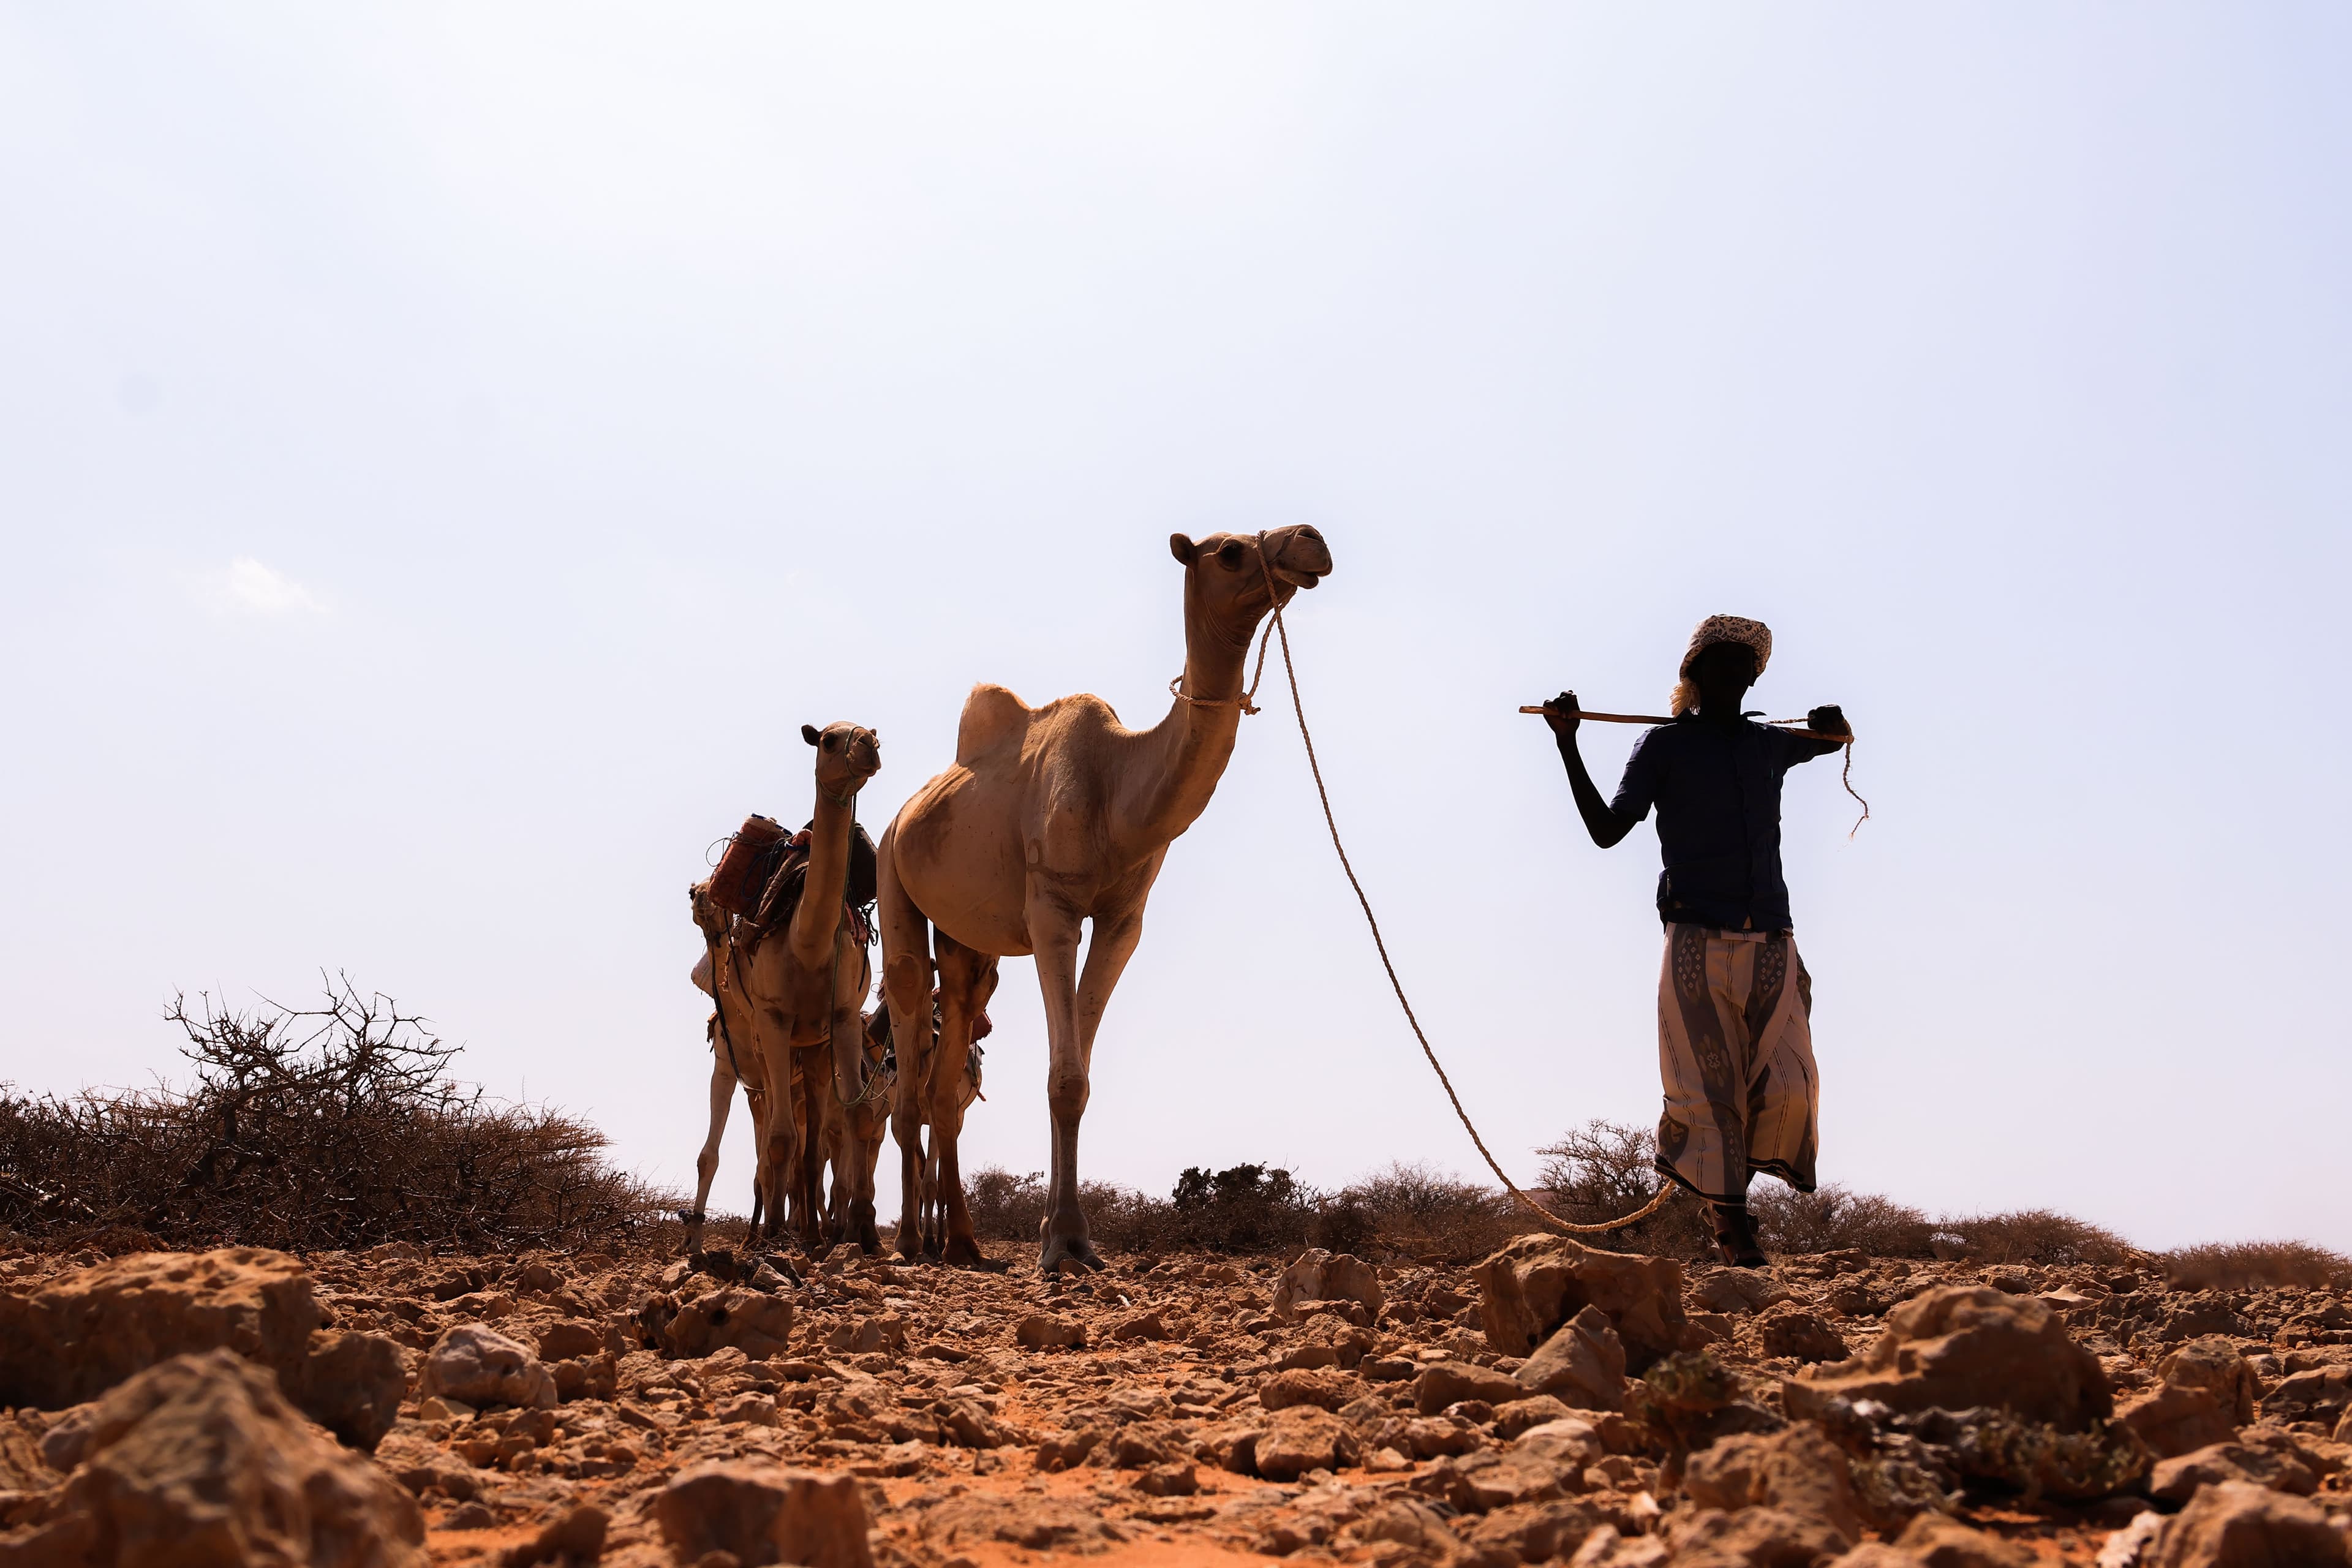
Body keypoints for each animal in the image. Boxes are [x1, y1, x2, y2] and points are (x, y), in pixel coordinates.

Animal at [684, 721, 884, 1254]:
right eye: (829, 739)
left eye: (871, 734)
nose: (868, 745)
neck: (806, 944)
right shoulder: (767, 1026)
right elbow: (775, 1142)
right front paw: (771, 1234)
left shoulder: (840, 1019)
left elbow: (855, 1120)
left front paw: (863, 1233)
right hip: (777, 1050)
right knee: (787, 1145)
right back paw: (780, 1229)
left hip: (812, 1050)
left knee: (814, 1147)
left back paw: (816, 1231)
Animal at [876, 526, 1333, 1270]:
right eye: (1230, 550)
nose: (1309, 541)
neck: (1120, 789)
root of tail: (907, 810)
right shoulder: (1053, 912)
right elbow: (1064, 1076)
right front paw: (1062, 1243)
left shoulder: (1123, 921)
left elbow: (1079, 1078)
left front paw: (1066, 1236)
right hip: (893, 869)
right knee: (908, 1044)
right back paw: (912, 1242)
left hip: (968, 941)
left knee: (949, 1063)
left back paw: (966, 1244)